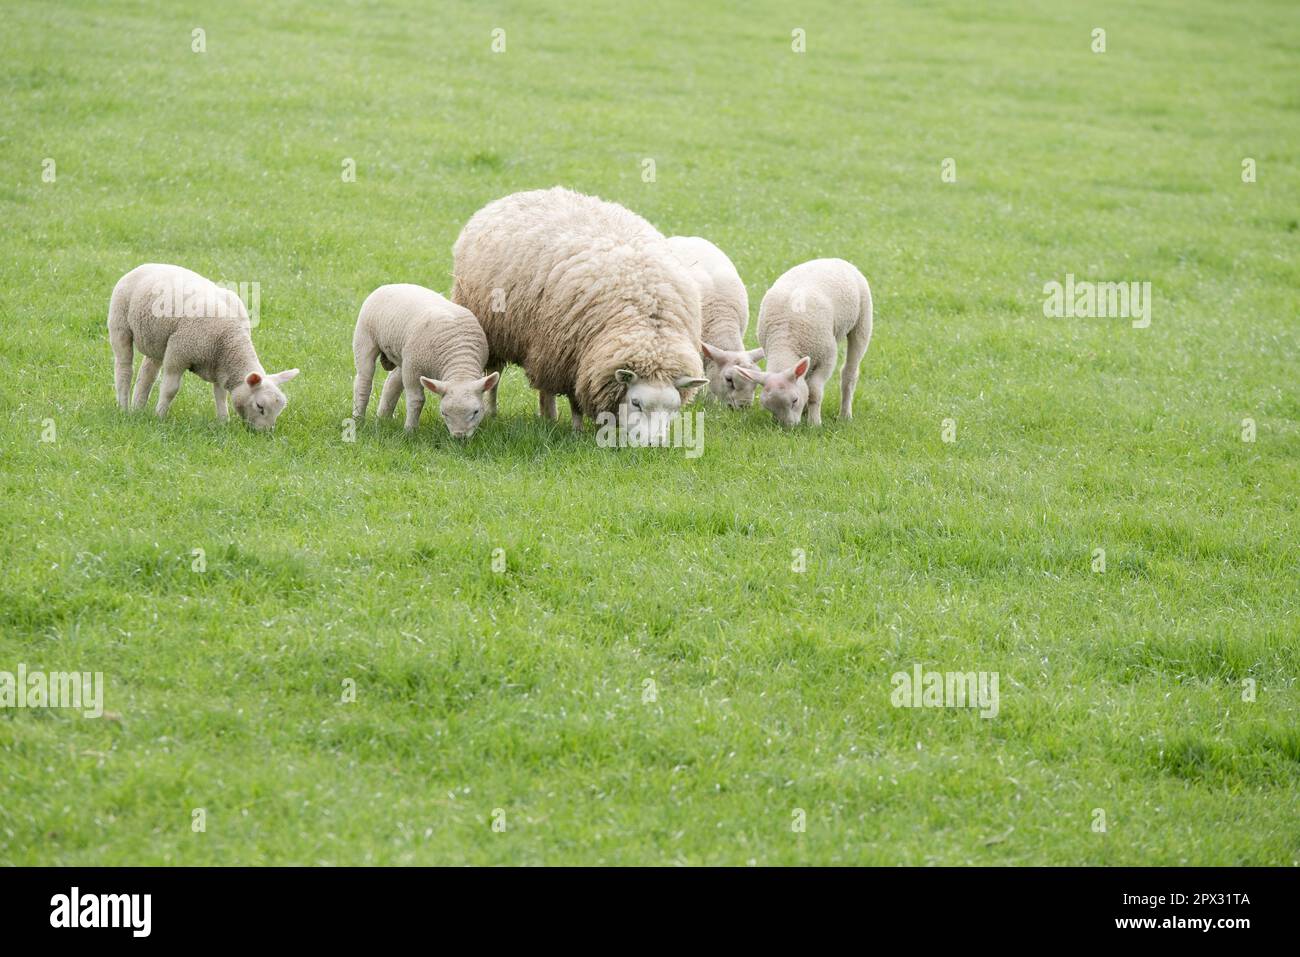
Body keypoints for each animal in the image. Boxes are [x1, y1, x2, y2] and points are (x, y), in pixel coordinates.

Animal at [107, 263, 299, 430]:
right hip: (120, 324)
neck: (229, 340)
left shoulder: (220, 366)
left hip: (158, 342)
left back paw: (137, 409)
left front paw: (223, 422)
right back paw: (124, 407)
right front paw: (159, 416)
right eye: (260, 406)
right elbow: (170, 389)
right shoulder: (178, 354)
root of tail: (145, 266)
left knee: (147, 375)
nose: (265, 433)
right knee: (124, 368)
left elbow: (220, 395)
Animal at [351, 283, 497, 438]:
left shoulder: (411, 362)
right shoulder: (413, 369)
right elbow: (417, 400)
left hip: (404, 355)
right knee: (363, 382)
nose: (459, 436)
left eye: (476, 412)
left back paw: (383, 419)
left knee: (392, 383)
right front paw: (410, 432)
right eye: (444, 413)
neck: (459, 359)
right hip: (365, 338)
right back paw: (358, 419)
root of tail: (389, 285)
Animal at [451, 187, 707, 444]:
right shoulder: (571, 359)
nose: (655, 443)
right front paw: (577, 431)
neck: (646, 317)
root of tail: (514, 196)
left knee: (542, 387)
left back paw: (548, 418)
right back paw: (498, 413)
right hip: (500, 333)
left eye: (674, 408)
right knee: (497, 378)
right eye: (636, 403)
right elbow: (575, 402)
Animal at [737, 258, 873, 427]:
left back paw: (845, 415)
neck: (785, 342)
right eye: (768, 407)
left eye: (794, 400)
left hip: (862, 321)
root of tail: (835, 260)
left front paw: (814, 423)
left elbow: (814, 391)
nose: (788, 428)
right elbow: (805, 386)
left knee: (849, 373)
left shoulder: (827, 358)